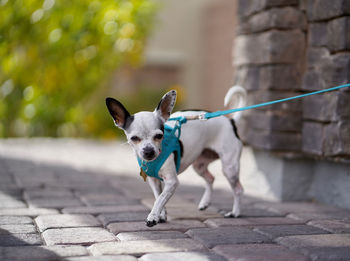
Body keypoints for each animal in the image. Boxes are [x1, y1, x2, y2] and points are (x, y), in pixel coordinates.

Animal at [106, 86, 246, 225]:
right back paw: (205, 203)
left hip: (229, 168)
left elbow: (160, 199)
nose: (149, 151)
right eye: (134, 138)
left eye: (159, 136)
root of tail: (230, 122)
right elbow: (158, 197)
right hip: (199, 165)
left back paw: (235, 213)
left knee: (238, 189)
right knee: (211, 178)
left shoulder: (172, 182)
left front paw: (152, 216)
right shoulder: (154, 181)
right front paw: (161, 215)